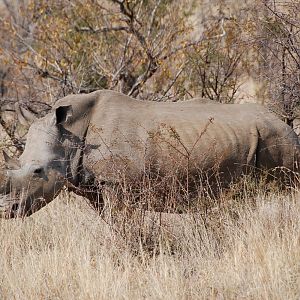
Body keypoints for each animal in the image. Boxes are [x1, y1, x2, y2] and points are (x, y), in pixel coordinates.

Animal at [0, 89, 300, 218]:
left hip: (280, 140)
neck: (70, 132)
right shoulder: (95, 187)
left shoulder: (116, 183)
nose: (6, 212)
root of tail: (284, 122)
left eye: (37, 171)